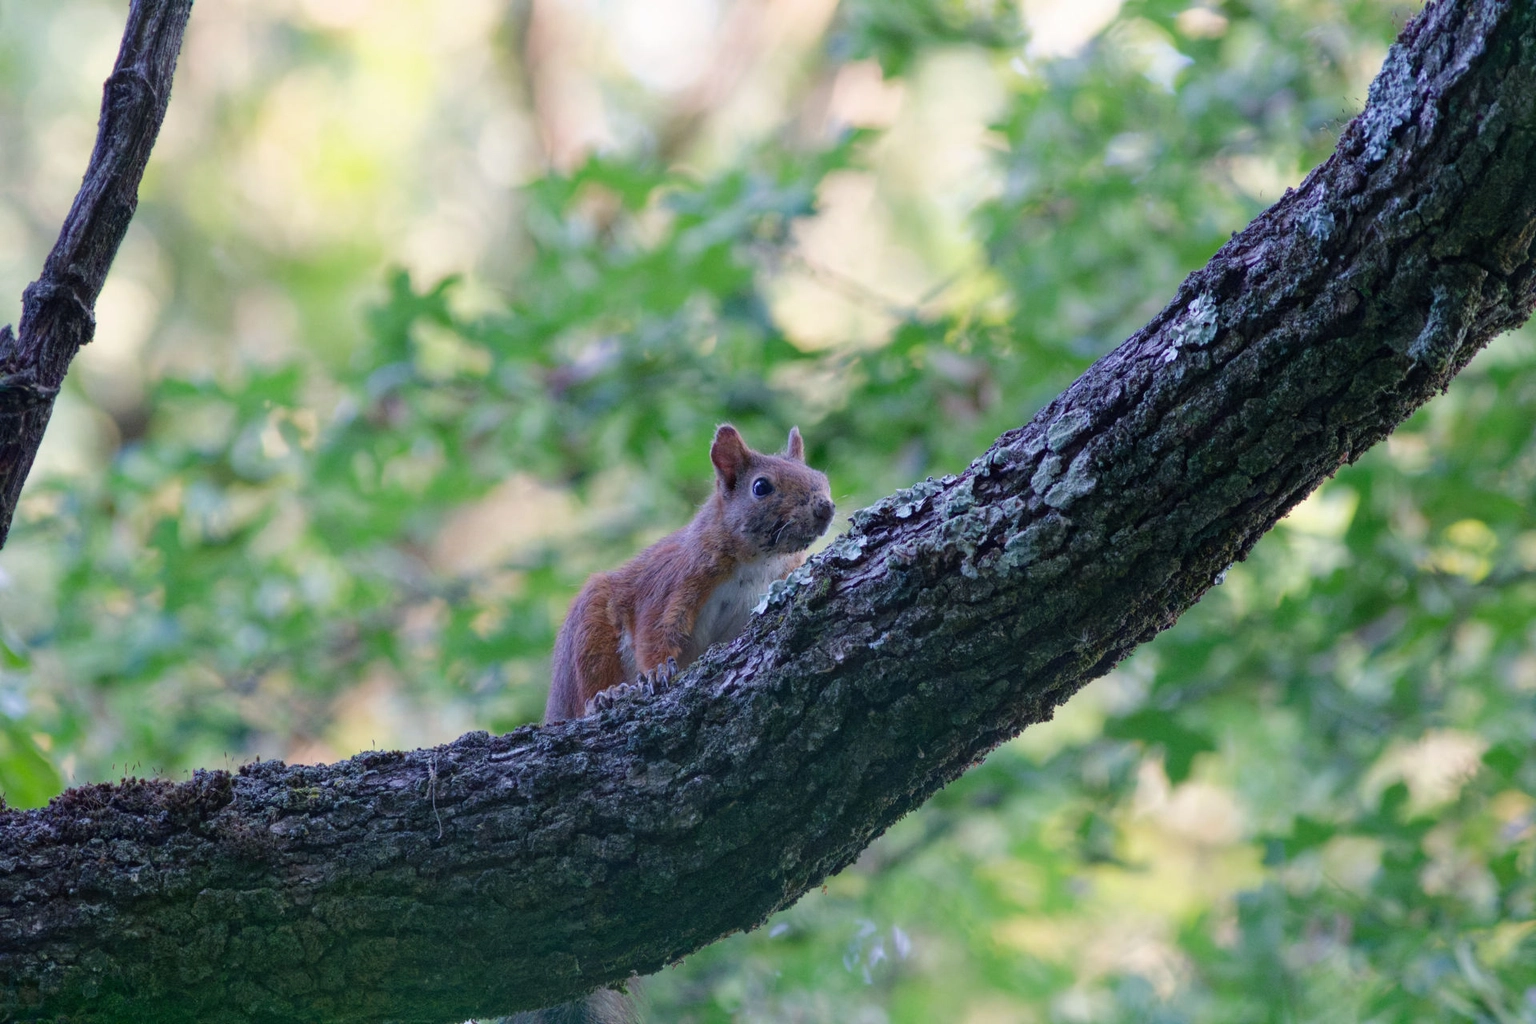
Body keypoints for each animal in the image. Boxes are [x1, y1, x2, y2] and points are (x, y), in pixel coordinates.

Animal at [544, 424, 834, 724]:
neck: (758, 563)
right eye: (761, 487)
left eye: (821, 477)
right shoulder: (673, 580)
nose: (825, 507)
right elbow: (653, 630)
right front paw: (658, 671)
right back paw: (605, 697)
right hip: (589, 633)